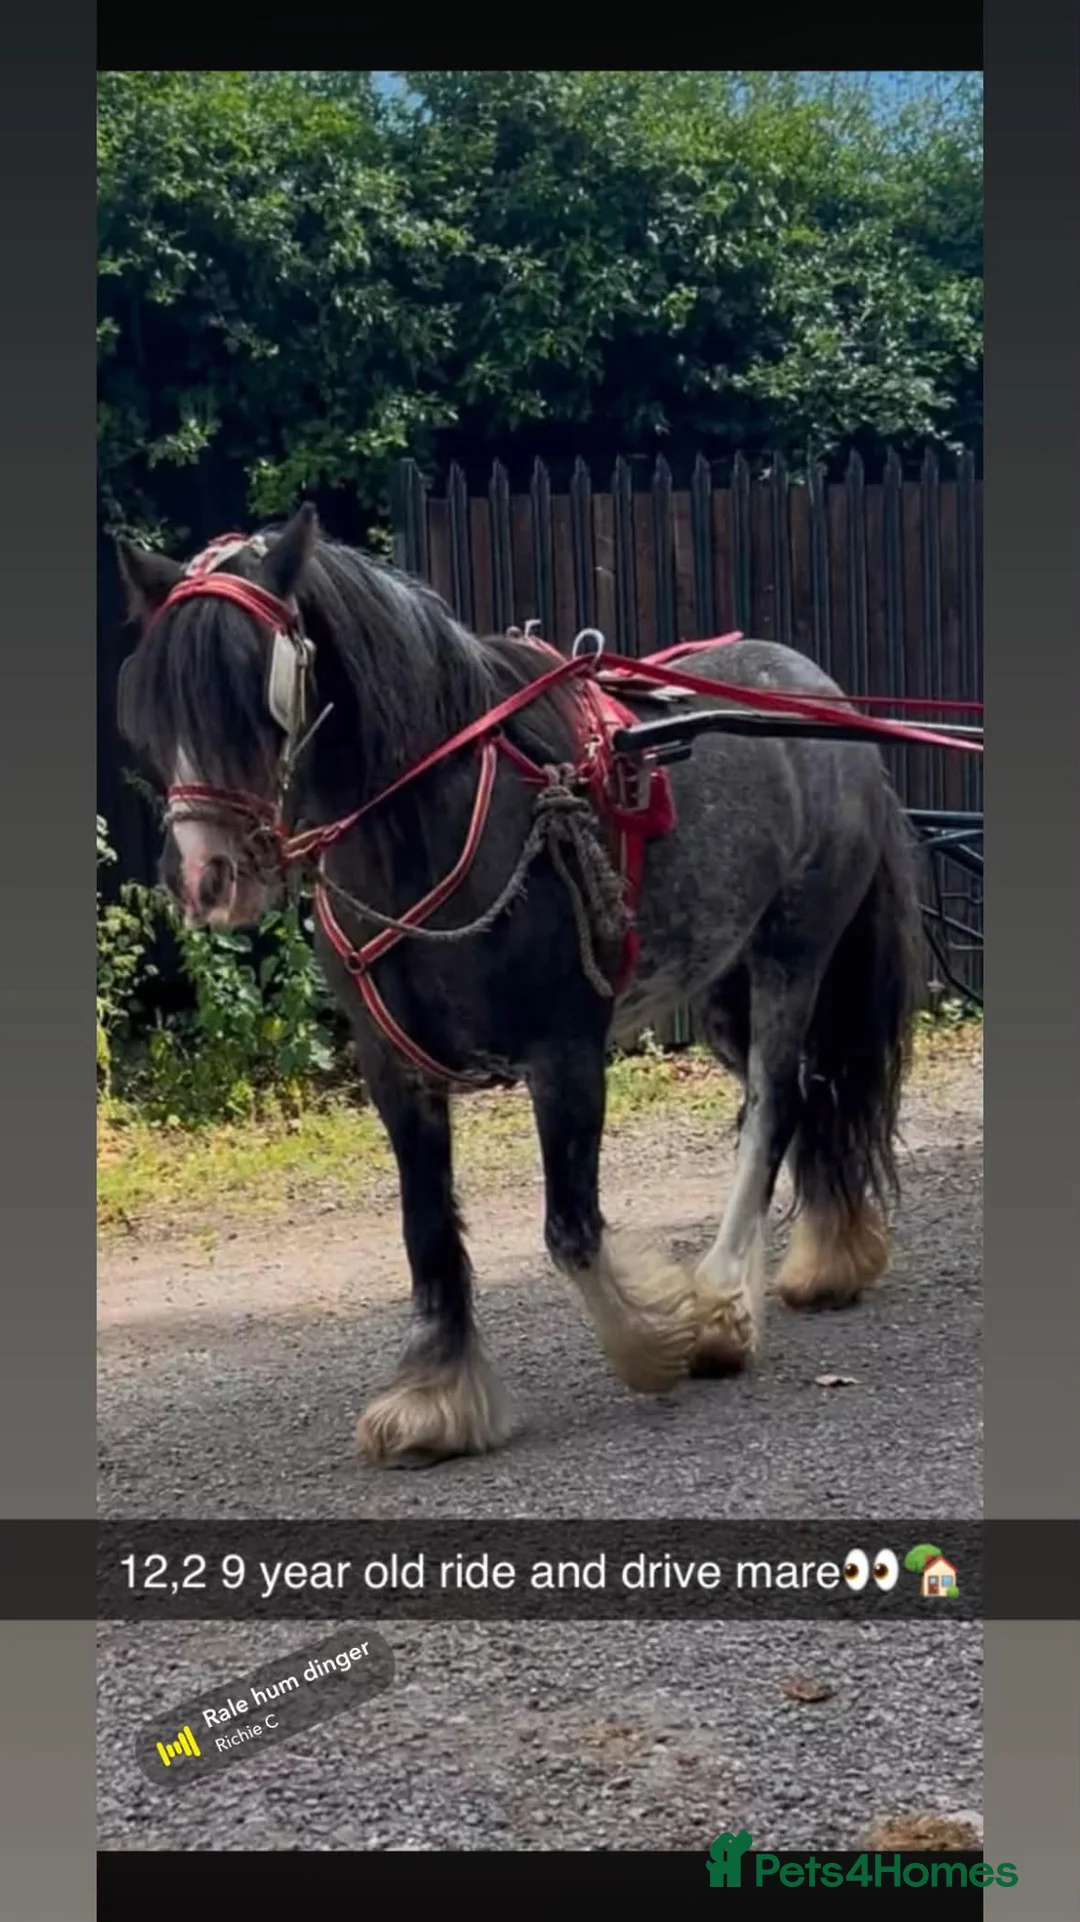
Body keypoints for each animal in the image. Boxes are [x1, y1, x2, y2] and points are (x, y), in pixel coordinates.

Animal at [115, 503, 924, 1469]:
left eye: (254, 690)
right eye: (153, 704)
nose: (208, 879)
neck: (440, 824)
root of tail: (819, 695)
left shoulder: (565, 1055)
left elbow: (570, 1229)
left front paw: (657, 1338)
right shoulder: (395, 1075)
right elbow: (427, 1231)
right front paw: (436, 1399)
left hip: (792, 956)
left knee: (773, 1108)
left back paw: (726, 1302)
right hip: (723, 984)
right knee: (806, 1096)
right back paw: (829, 1257)